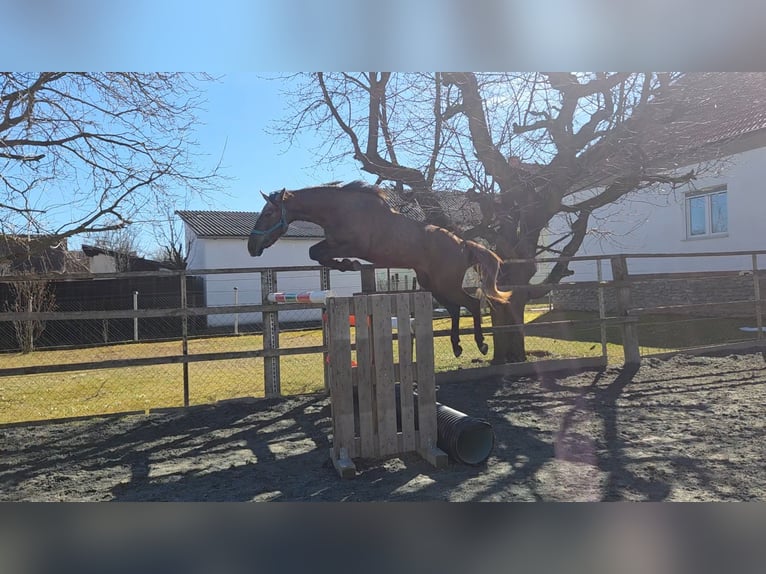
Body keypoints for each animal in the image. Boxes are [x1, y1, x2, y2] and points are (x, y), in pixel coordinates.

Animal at [247, 181, 511, 357]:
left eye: (268, 212)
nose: (252, 246)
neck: (339, 209)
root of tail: (463, 245)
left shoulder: (353, 245)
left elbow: (318, 253)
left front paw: (349, 264)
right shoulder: (333, 243)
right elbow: (315, 252)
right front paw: (347, 264)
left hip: (446, 285)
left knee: (472, 304)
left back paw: (481, 344)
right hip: (433, 285)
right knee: (456, 309)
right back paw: (457, 346)